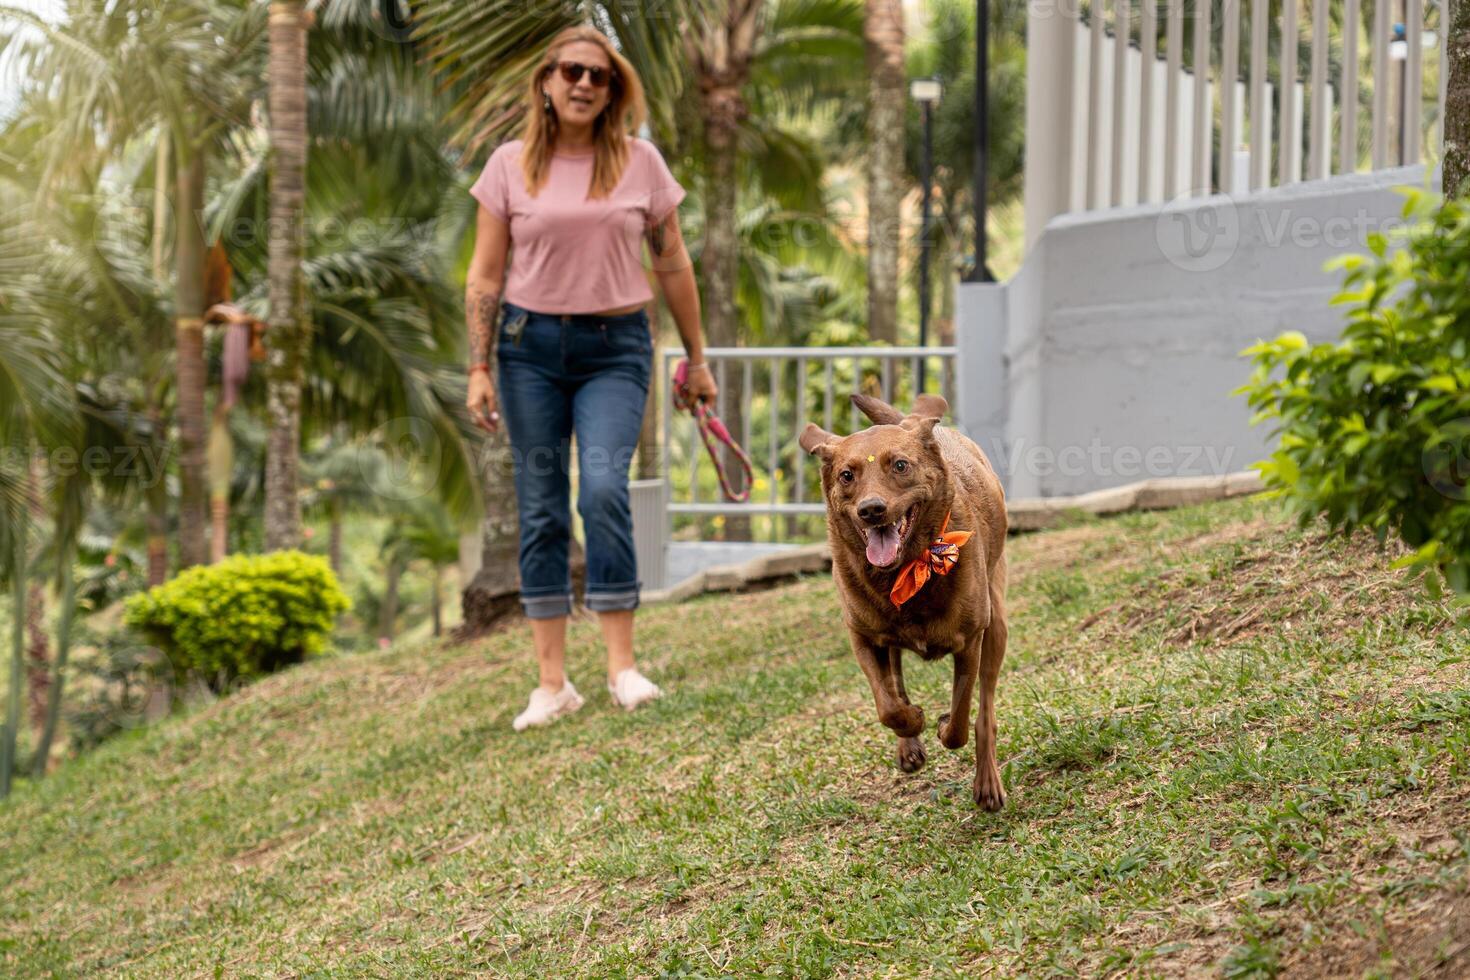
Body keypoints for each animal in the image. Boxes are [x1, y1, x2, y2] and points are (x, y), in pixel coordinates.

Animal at [793, 390, 1011, 811]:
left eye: (900, 465)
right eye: (847, 475)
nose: (871, 509)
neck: (906, 569)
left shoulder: (970, 641)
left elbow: (961, 719)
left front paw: (942, 725)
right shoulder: (862, 638)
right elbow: (889, 706)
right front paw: (913, 722)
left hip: (997, 627)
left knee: (986, 712)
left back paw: (987, 782)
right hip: (887, 637)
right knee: (895, 680)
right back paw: (909, 744)